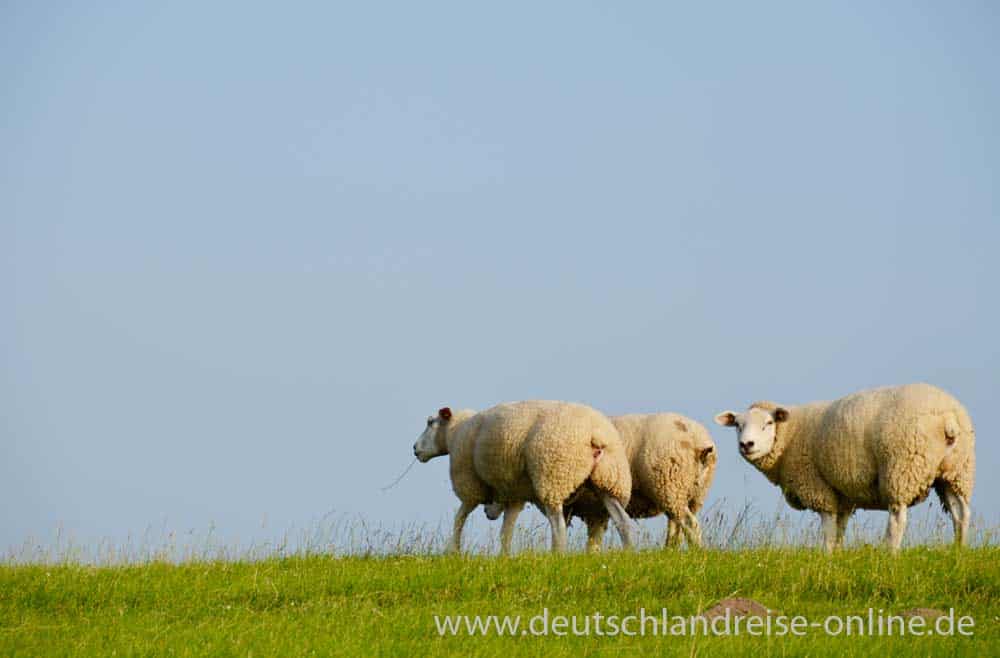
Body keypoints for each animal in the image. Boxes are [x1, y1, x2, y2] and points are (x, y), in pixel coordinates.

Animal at [412, 398, 632, 552]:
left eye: (430, 422)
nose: (415, 449)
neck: (455, 433)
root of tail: (595, 433)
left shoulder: (469, 484)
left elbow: (459, 518)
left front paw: (453, 551)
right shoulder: (514, 493)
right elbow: (506, 531)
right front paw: (504, 557)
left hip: (552, 475)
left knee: (558, 527)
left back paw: (558, 556)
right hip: (609, 480)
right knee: (622, 521)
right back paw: (628, 553)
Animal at [712, 382, 976, 552]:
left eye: (768, 423)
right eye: (737, 425)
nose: (746, 444)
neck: (790, 436)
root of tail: (948, 417)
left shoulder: (818, 487)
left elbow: (829, 530)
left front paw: (827, 558)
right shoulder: (843, 495)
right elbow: (840, 528)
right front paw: (839, 556)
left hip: (902, 468)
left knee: (898, 518)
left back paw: (889, 553)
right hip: (956, 471)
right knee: (960, 513)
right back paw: (959, 552)